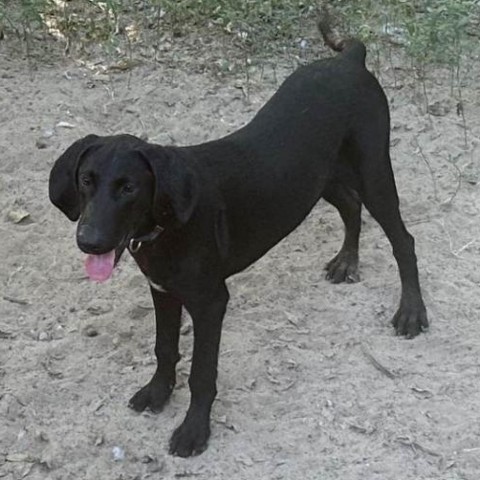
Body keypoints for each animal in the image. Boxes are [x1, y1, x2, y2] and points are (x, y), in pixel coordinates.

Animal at [48, 23, 428, 458]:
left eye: (128, 188)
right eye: (85, 180)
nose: (89, 242)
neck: (165, 226)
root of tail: (350, 59)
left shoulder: (210, 302)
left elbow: (202, 373)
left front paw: (194, 430)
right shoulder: (163, 291)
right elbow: (164, 348)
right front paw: (158, 392)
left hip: (373, 170)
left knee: (403, 240)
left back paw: (411, 311)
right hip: (318, 178)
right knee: (350, 206)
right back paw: (348, 260)